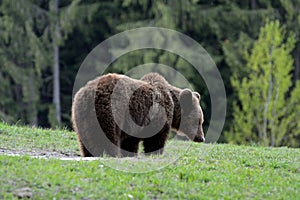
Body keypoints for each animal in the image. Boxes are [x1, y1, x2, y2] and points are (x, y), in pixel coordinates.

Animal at [71, 72, 205, 157]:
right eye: (199, 121)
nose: (201, 138)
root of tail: (88, 93)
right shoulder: (156, 116)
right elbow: (156, 138)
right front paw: (155, 152)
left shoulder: (134, 125)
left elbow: (130, 142)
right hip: (112, 110)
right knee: (107, 135)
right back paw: (110, 153)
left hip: (81, 115)